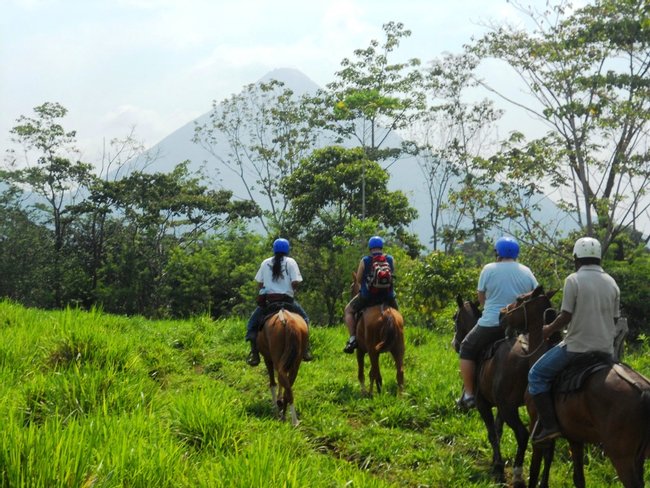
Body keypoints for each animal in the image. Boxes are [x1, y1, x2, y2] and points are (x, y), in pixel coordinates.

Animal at [448, 286, 556, 488]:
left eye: (455, 318)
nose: (456, 344)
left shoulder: (485, 404)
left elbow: (492, 433)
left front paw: (498, 466)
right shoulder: (499, 405)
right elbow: (498, 431)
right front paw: (495, 460)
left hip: (509, 407)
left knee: (522, 435)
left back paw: (517, 473)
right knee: (548, 446)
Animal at [502, 296, 648, 486]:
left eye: (520, 300)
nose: (502, 314)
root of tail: (642, 389)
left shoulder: (536, 428)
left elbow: (534, 471)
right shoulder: (575, 438)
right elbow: (578, 478)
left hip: (621, 457)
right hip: (639, 456)